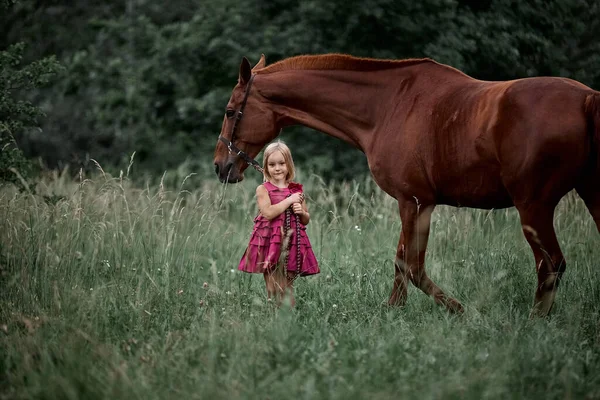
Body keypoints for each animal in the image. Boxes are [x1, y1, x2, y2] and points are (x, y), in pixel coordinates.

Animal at [213, 53, 600, 318]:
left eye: (231, 111)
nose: (221, 166)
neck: (387, 106)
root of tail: (587, 99)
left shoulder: (411, 201)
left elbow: (412, 266)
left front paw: (459, 310)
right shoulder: (418, 203)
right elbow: (402, 261)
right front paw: (393, 310)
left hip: (533, 207)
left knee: (551, 264)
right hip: (589, 197)